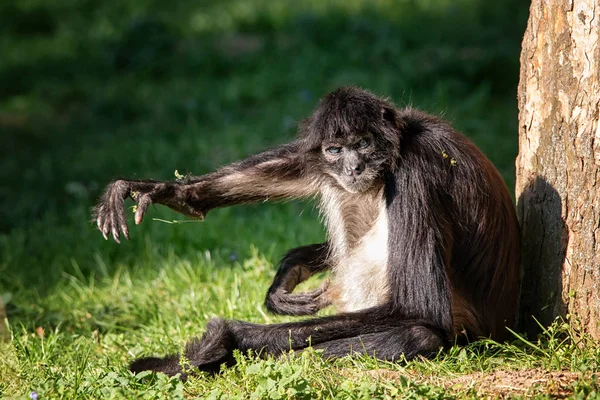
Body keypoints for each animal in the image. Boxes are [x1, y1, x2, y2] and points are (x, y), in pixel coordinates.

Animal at [94, 86, 520, 376]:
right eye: (335, 150)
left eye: (364, 144)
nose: (353, 167)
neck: (405, 143)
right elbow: (302, 162)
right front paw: (174, 193)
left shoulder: (416, 170)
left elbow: (420, 309)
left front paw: (230, 336)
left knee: (419, 335)